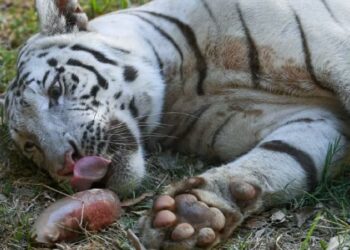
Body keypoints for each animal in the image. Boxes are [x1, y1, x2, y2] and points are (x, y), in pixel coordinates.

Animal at [0, 0, 350, 248]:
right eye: (31, 146)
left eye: (55, 89)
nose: (66, 165)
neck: (183, 80)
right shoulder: (313, 119)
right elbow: (283, 157)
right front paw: (192, 212)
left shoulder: (334, 53)